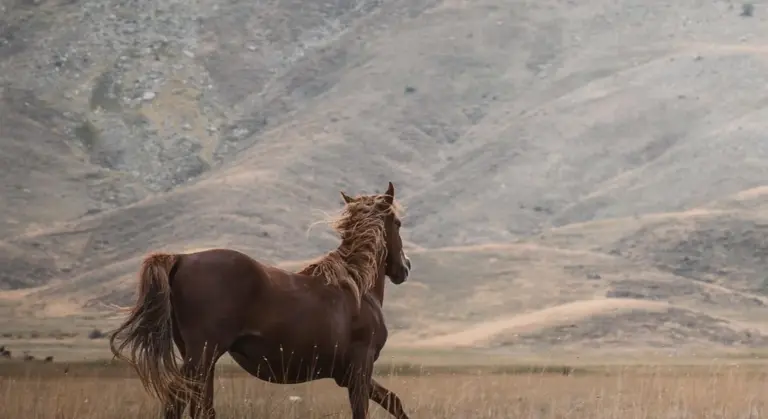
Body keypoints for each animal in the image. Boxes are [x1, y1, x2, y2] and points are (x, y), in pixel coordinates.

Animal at [109, 181, 413, 419]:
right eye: (398, 224)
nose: (405, 268)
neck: (356, 286)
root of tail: (182, 258)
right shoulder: (360, 369)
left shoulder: (347, 375)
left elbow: (395, 402)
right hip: (202, 355)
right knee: (177, 400)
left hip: (201, 358)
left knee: (199, 406)